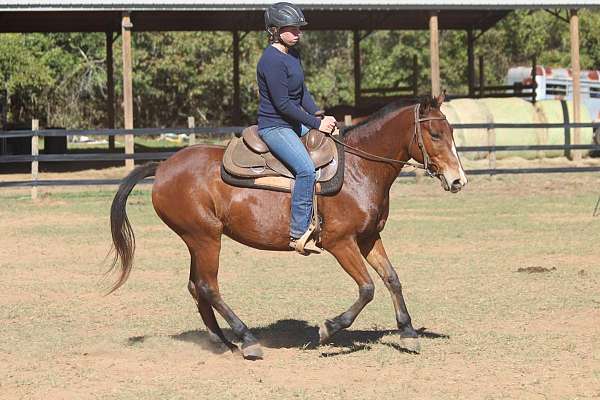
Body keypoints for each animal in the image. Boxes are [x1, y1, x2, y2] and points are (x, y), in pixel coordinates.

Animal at [109, 93, 468, 360]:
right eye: (435, 134)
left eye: (451, 132)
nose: (458, 180)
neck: (358, 169)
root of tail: (163, 166)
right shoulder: (341, 243)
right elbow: (367, 287)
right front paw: (329, 328)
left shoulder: (368, 238)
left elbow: (392, 279)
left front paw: (407, 333)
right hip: (205, 238)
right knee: (209, 287)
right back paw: (247, 339)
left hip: (196, 240)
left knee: (196, 287)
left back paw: (223, 342)